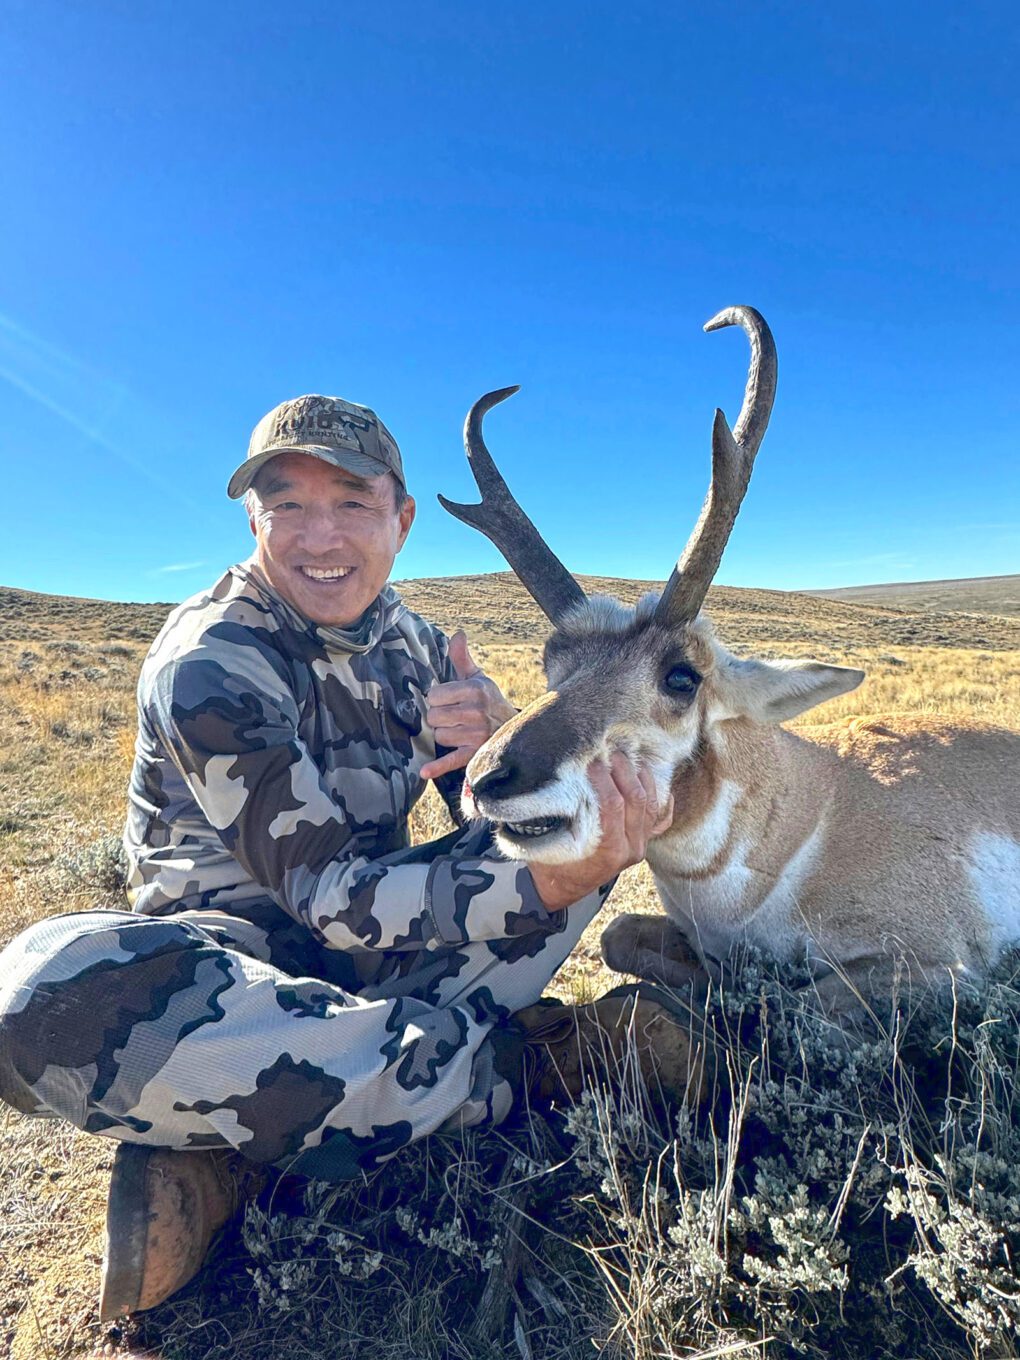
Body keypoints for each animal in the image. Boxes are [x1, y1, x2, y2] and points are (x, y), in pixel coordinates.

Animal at [440, 307, 1020, 1014]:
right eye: (553, 662)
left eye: (681, 677)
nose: (487, 778)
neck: (812, 810)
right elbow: (619, 938)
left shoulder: (943, 968)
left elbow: (802, 999)